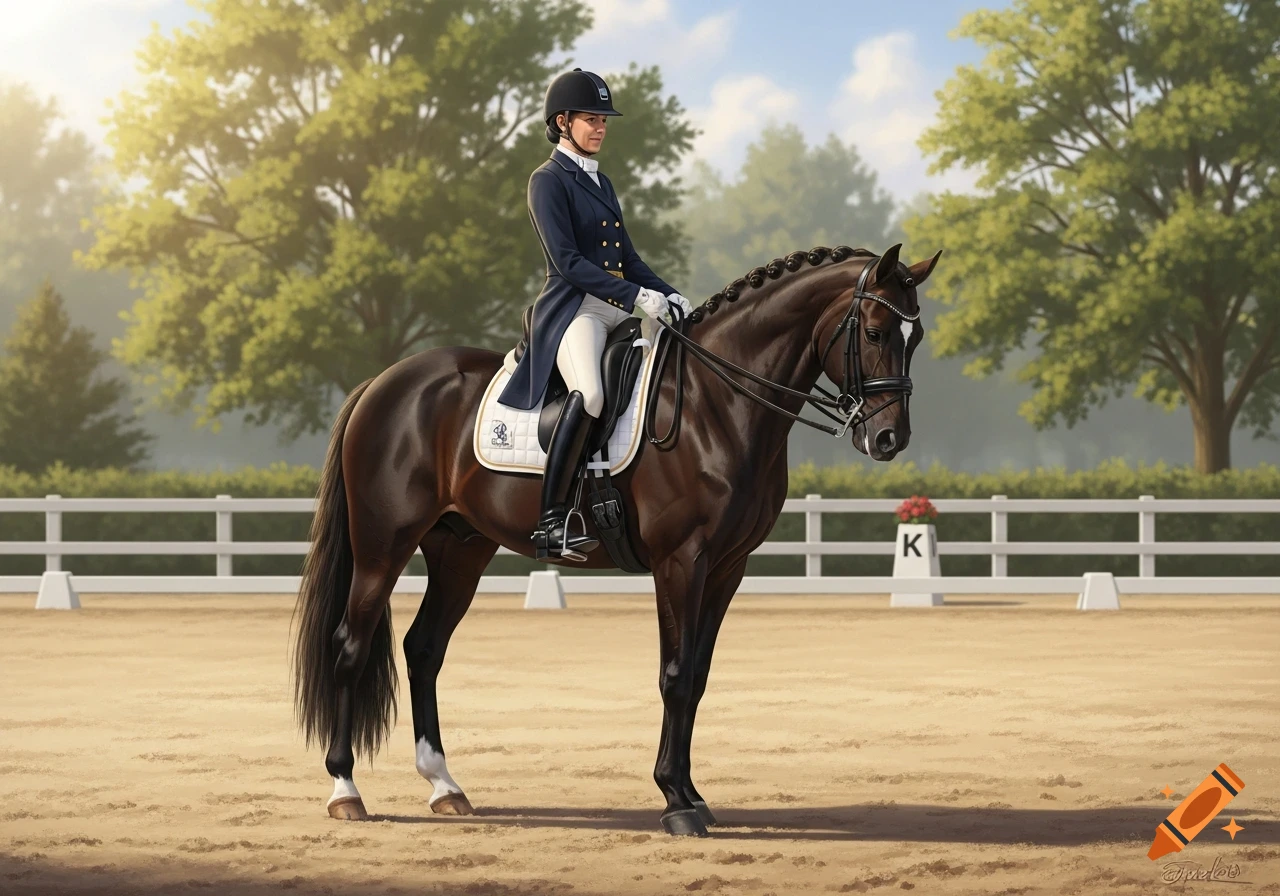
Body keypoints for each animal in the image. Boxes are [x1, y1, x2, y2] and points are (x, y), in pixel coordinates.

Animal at [291, 241, 941, 837]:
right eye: (876, 331)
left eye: (916, 338)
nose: (889, 439)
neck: (716, 402)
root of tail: (385, 381)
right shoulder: (681, 561)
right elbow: (674, 674)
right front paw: (676, 803)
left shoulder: (726, 566)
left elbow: (697, 676)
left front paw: (691, 793)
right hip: (383, 545)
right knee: (350, 645)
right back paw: (345, 790)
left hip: (460, 549)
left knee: (424, 649)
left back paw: (445, 787)